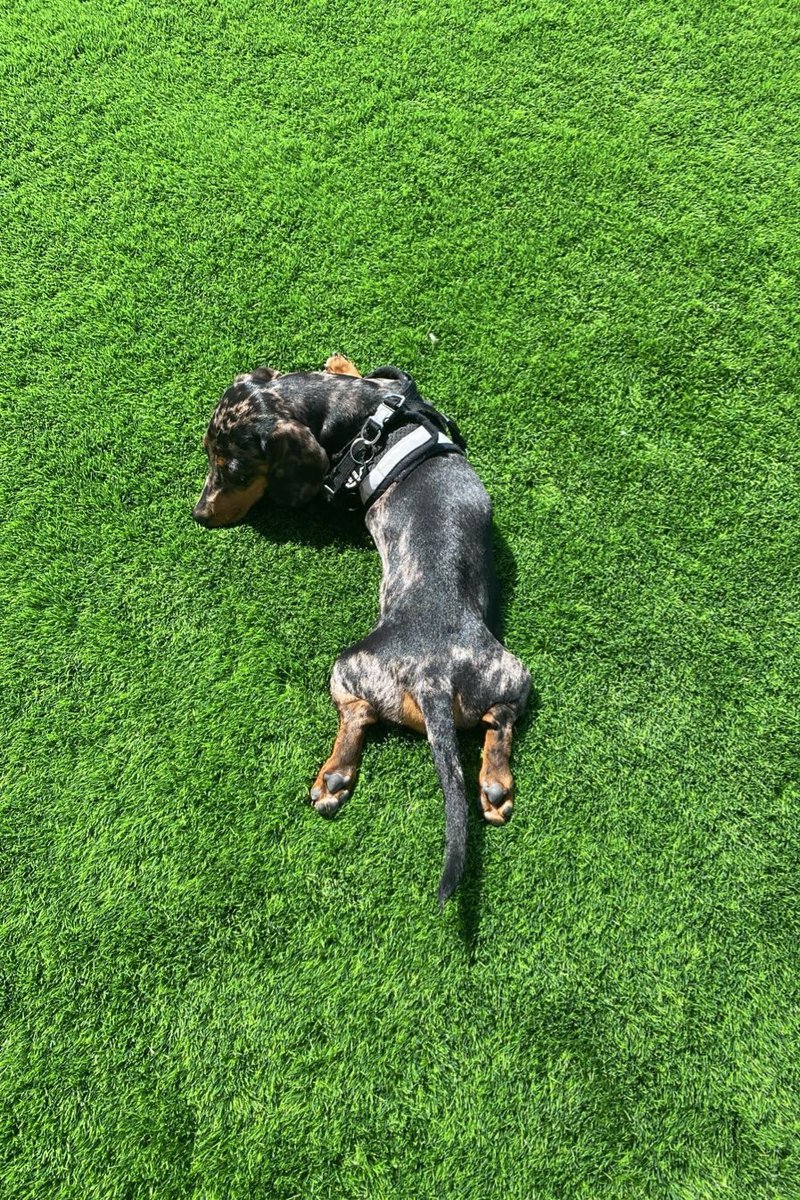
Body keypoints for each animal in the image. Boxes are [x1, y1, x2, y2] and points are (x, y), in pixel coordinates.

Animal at [194, 352, 532, 902]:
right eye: (208, 455)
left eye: (236, 471)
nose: (199, 515)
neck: (365, 416)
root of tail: (433, 675)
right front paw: (340, 361)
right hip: (510, 672)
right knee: (500, 718)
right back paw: (494, 785)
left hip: (347, 665)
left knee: (356, 713)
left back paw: (333, 777)